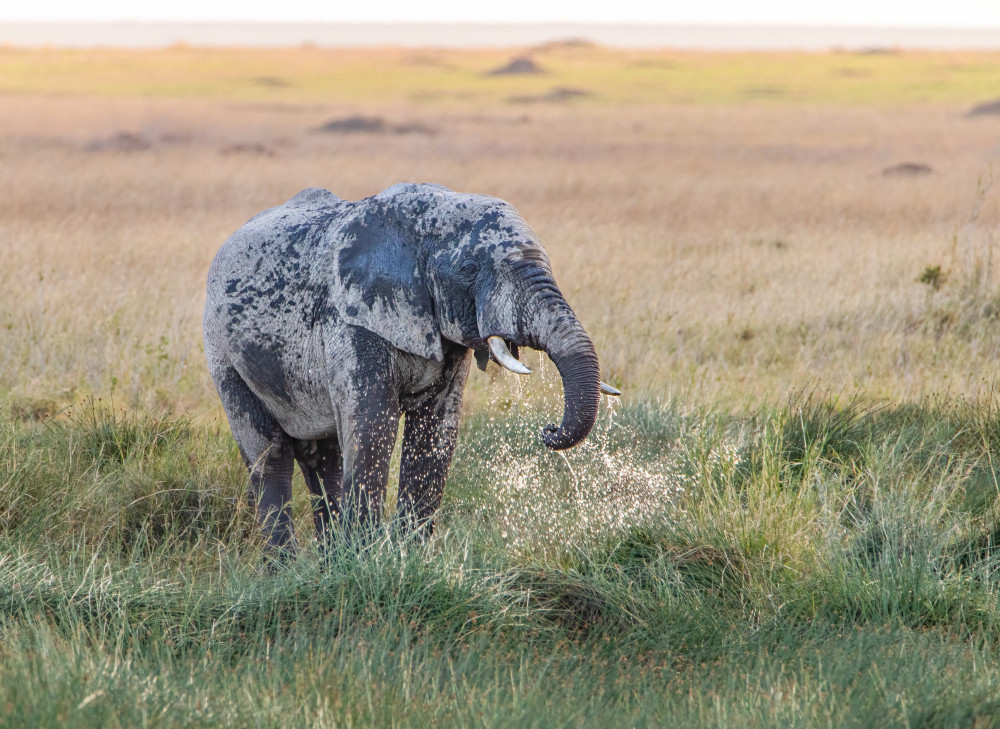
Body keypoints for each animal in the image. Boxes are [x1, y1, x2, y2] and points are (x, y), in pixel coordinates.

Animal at [203, 182, 616, 552]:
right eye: (469, 268)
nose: (548, 431)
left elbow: (436, 429)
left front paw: (406, 558)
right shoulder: (351, 319)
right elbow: (373, 424)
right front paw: (366, 565)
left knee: (324, 457)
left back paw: (330, 562)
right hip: (222, 353)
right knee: (269, 457)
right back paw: (290, 568)